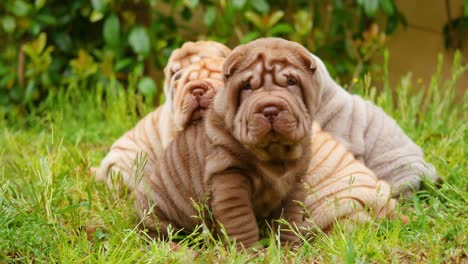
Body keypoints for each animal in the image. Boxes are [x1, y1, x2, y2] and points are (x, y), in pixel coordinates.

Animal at [135, 38, 318, 249]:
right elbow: (241, 220)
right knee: (158, 235)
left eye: (291, 82)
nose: (270, 109)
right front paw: (249, 252)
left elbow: (289, 218)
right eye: (247, 86)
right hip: (158, 208)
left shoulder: (296, 182)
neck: (273, 152)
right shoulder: (228, 177)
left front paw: (289, 248)